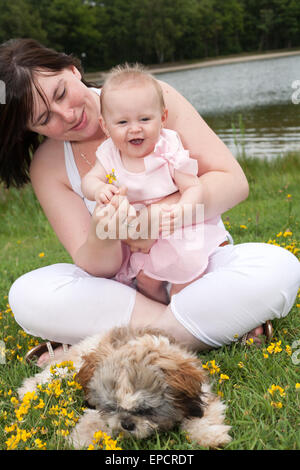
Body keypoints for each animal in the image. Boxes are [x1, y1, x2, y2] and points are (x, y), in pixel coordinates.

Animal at [17, 326, 231, 448]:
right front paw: (82, 440)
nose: (127, 424)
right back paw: (29, 390)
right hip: (73, 364)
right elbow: (93, 419)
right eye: (112, 407)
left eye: (146, 410)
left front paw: (210, 436)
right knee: (51, 374)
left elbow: (203, 417)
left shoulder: (201, 393)